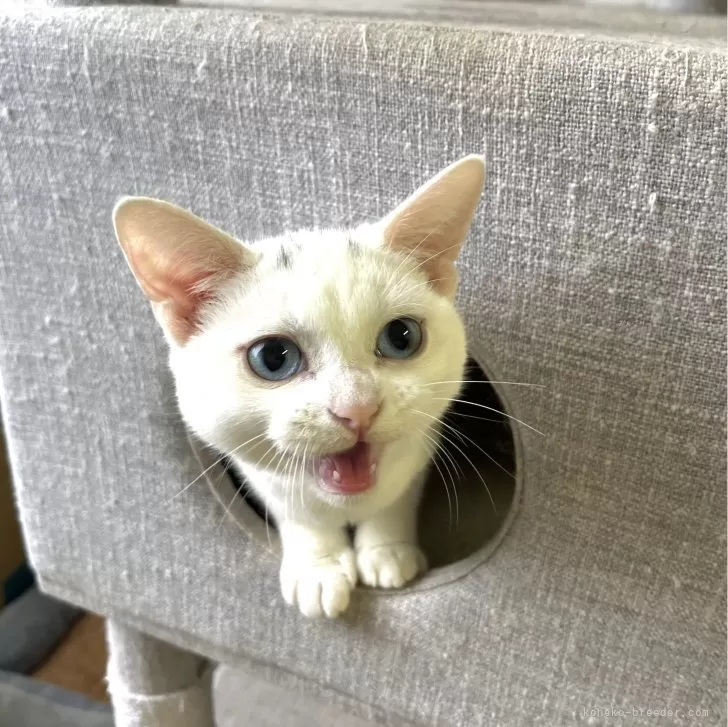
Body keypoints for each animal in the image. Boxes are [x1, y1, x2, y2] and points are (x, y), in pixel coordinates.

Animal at [113, 155, 485, 618]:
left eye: (402, 337)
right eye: (274, 357)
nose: (357, 408)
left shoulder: (422, 445)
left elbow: (396, 498)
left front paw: (387, 549)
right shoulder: (257, 474)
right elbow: (298, 513)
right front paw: (318, 567)